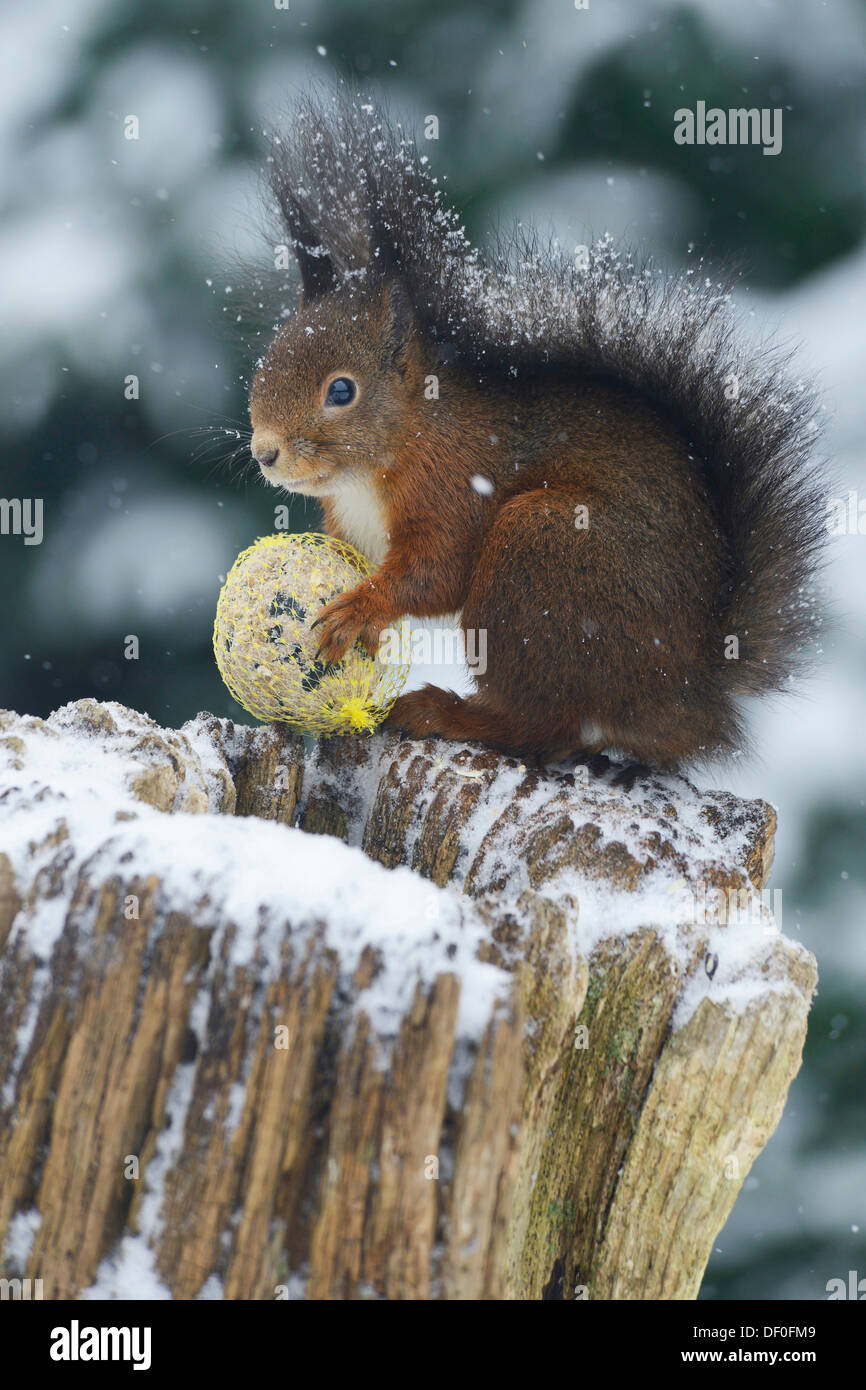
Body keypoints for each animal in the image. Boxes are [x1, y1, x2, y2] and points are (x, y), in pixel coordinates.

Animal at [246, 95, 828, 772]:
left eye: (342, 391)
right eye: (266, 361)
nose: (265, 452)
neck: (394, 450)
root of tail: (687, 691)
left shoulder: (454, 484)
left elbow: (436, 570)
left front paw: (359, 608)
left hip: (541, 556)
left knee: (544, 725)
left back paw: (448, 713)